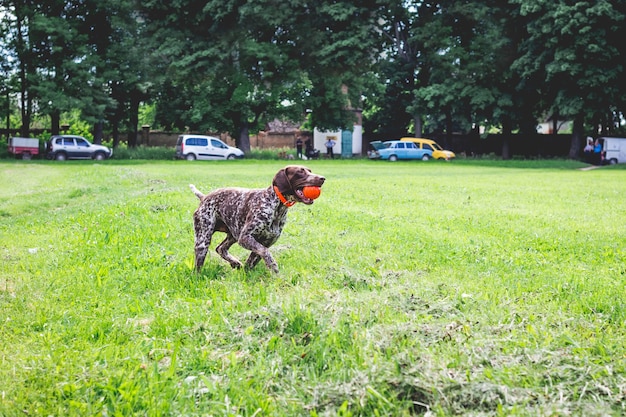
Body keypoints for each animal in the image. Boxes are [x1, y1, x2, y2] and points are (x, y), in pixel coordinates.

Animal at [189, 166, 324, 272]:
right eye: (300, 172)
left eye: (310, 171)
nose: (322, 178)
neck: (276, 207)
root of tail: (204, 197)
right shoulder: (246, 238)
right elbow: (265, 253)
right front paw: (273, 266)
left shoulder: (266, 242)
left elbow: (252, 261)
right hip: (203, 240)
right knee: (198, 266)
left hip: (233, 234)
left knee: (221, 248)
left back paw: (235, 263)